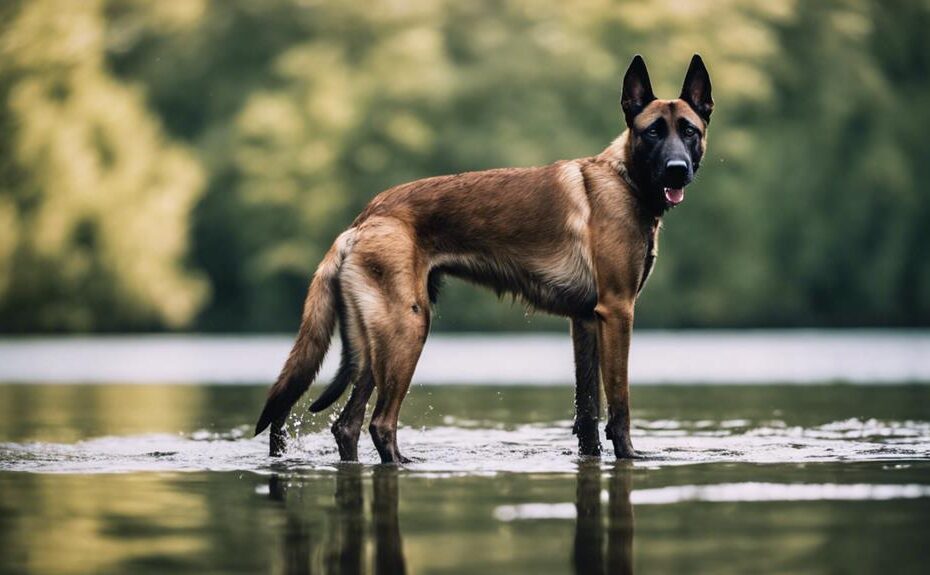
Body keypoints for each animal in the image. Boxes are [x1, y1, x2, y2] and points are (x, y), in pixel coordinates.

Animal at [254, 54, 712, 464]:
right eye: (653, 132)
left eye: (689, 131)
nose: (677, 169)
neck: (626, 180)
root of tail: (363, 220)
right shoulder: (617, 312)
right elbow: (619, 404)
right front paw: (631, 455)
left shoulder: (584, 323)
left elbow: (587, 414)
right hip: (408, 329)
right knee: (380, 423)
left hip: (373, 348)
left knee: (346, 426)